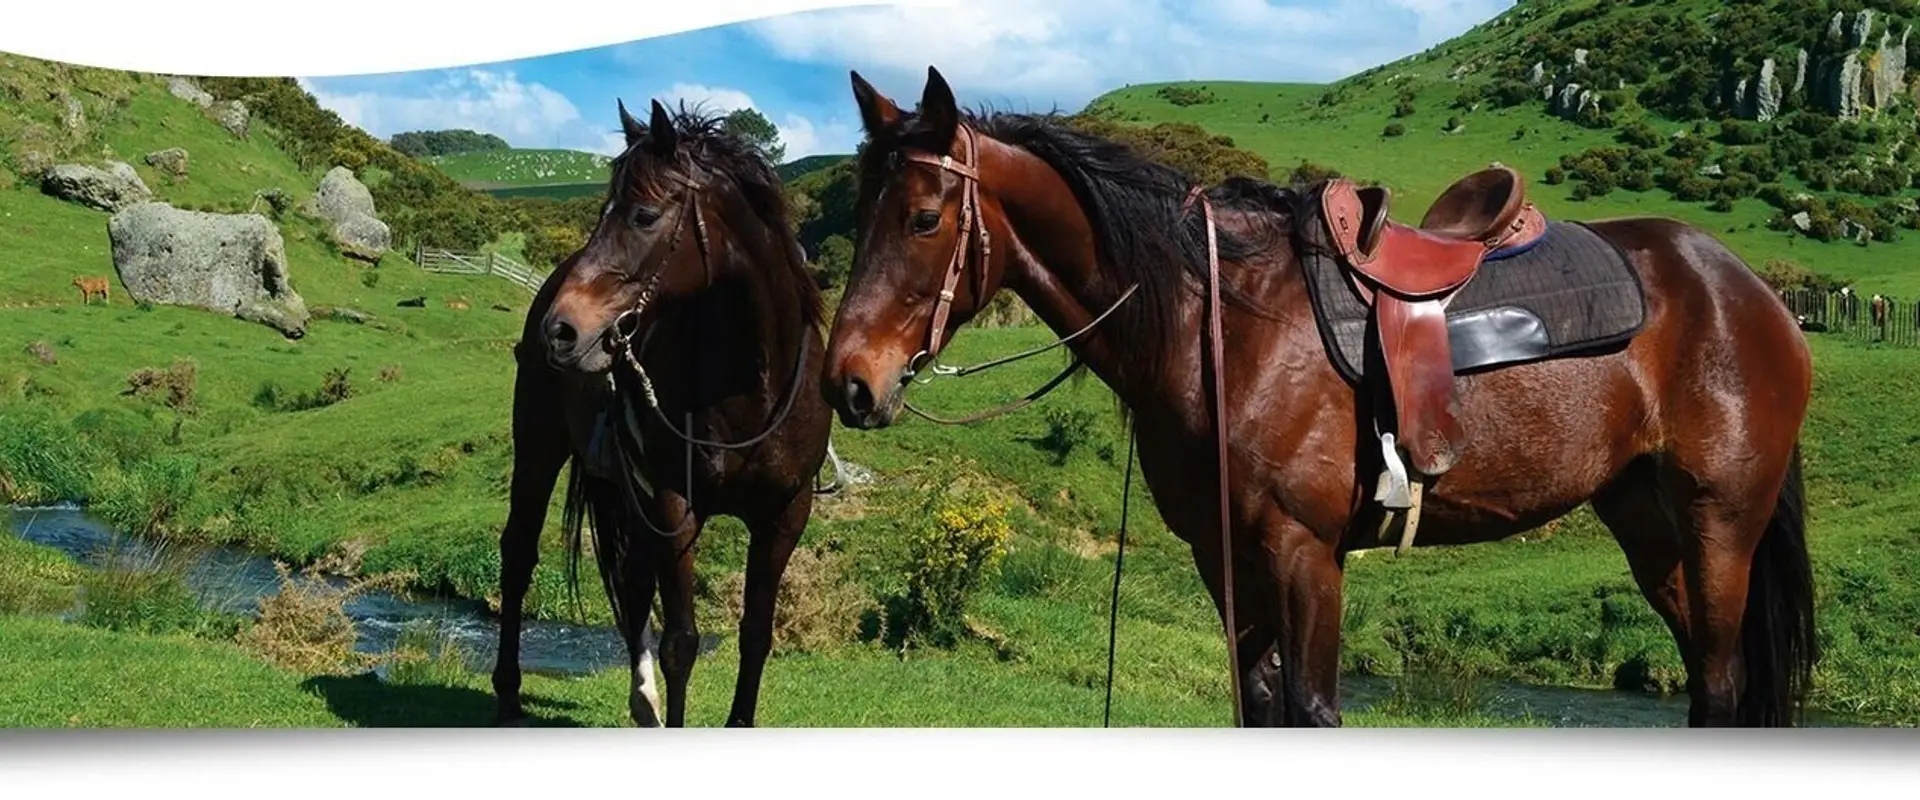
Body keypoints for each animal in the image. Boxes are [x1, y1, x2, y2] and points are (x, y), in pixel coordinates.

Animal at [491, 99, 833, 727]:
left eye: (645, 215)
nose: (562, 330)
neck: (751, 385)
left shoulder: (783, 515)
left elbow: (756, 633)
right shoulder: (676, 504)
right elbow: (682, 644)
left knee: (630, 579)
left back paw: (641, 699)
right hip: (539, 452)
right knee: (519, 555)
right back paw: (507, 693)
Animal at [819, 66, 1816, 727]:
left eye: (923, 218)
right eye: (859, 213)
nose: (849, 385)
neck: (1222, 322)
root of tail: (1752, 293)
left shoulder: (1305, 555)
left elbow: (1313, 709)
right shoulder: (1225, 560)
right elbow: (1258, 704)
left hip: (1720, 526)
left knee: (1720, 688)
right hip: (1650, 529)